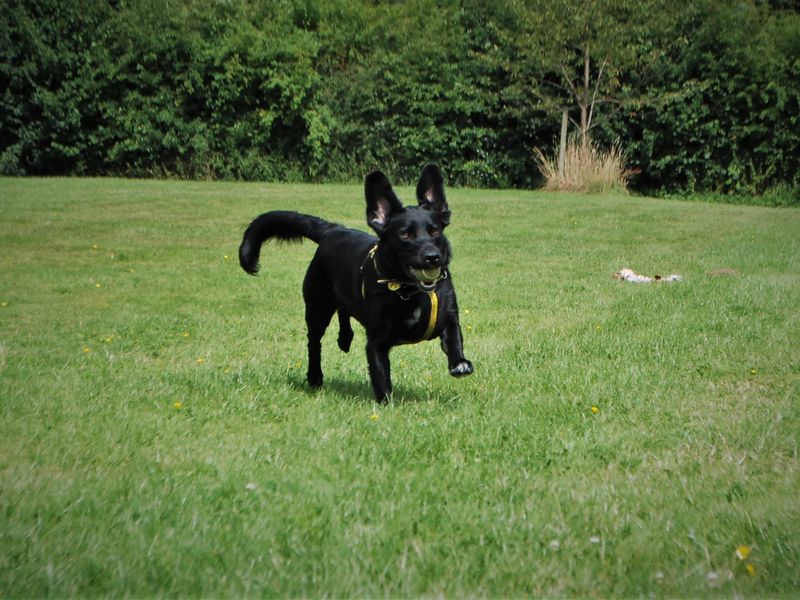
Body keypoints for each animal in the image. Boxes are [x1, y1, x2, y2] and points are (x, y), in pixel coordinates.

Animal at [241, 163, 472, 404]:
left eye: (435, 230)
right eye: (405, 234)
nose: (432, 257)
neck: (411, 292)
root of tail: (333, 230)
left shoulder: (448, 314)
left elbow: (454, 337)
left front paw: (460, 363)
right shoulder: (376, 343)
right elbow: (380, 375)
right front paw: (387, 405)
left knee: (345, 309)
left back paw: (345, 338)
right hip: (317, 307)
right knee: (314, 342)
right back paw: (315, 377)